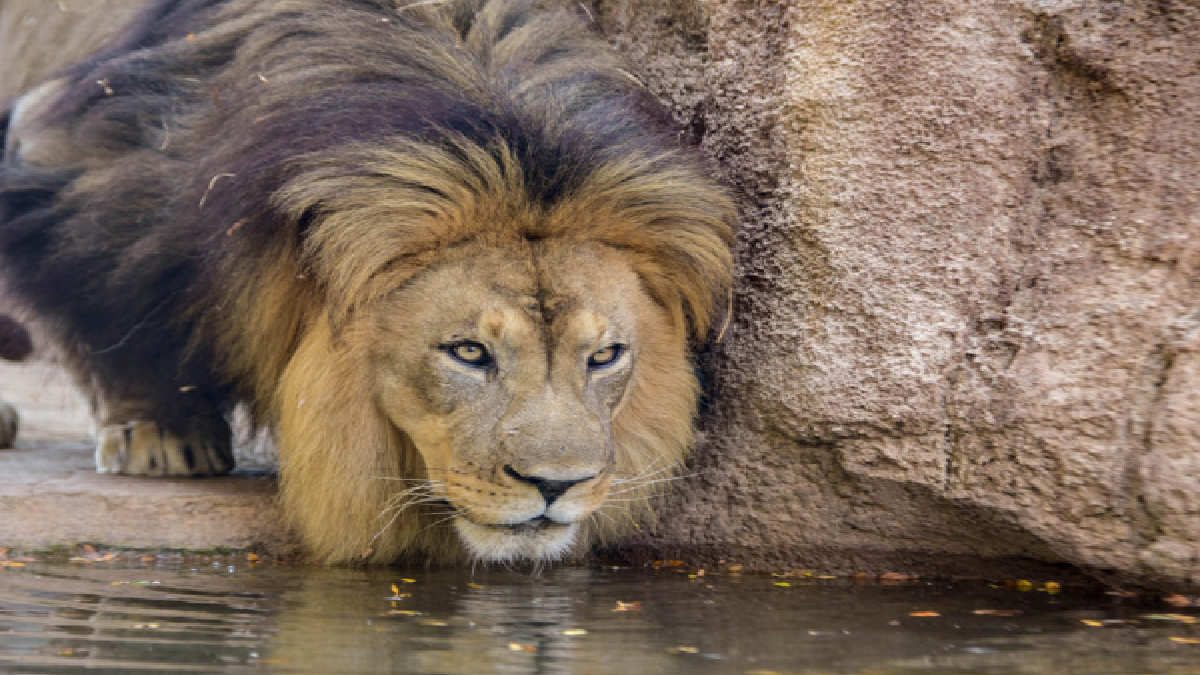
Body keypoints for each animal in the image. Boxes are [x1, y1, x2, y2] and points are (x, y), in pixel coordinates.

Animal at [0, 0, 735, 564]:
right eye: (469, 352)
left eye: (605, 356)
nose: (557, 486)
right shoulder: (95, 181)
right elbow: (113, 311)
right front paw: (160, 434)